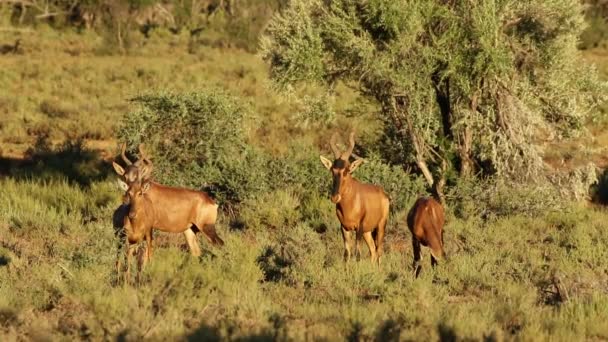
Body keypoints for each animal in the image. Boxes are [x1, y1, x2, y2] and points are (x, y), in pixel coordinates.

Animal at [318, 131, 390, 264]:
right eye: (333, 170)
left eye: (346, 171)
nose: (335, 197)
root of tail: (384, 194)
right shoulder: (344, 228)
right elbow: (346, 254)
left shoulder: (359, 228)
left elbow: (357, 255)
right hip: (368, 231)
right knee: (372, 250)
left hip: (381, 226)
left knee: (379, 251)